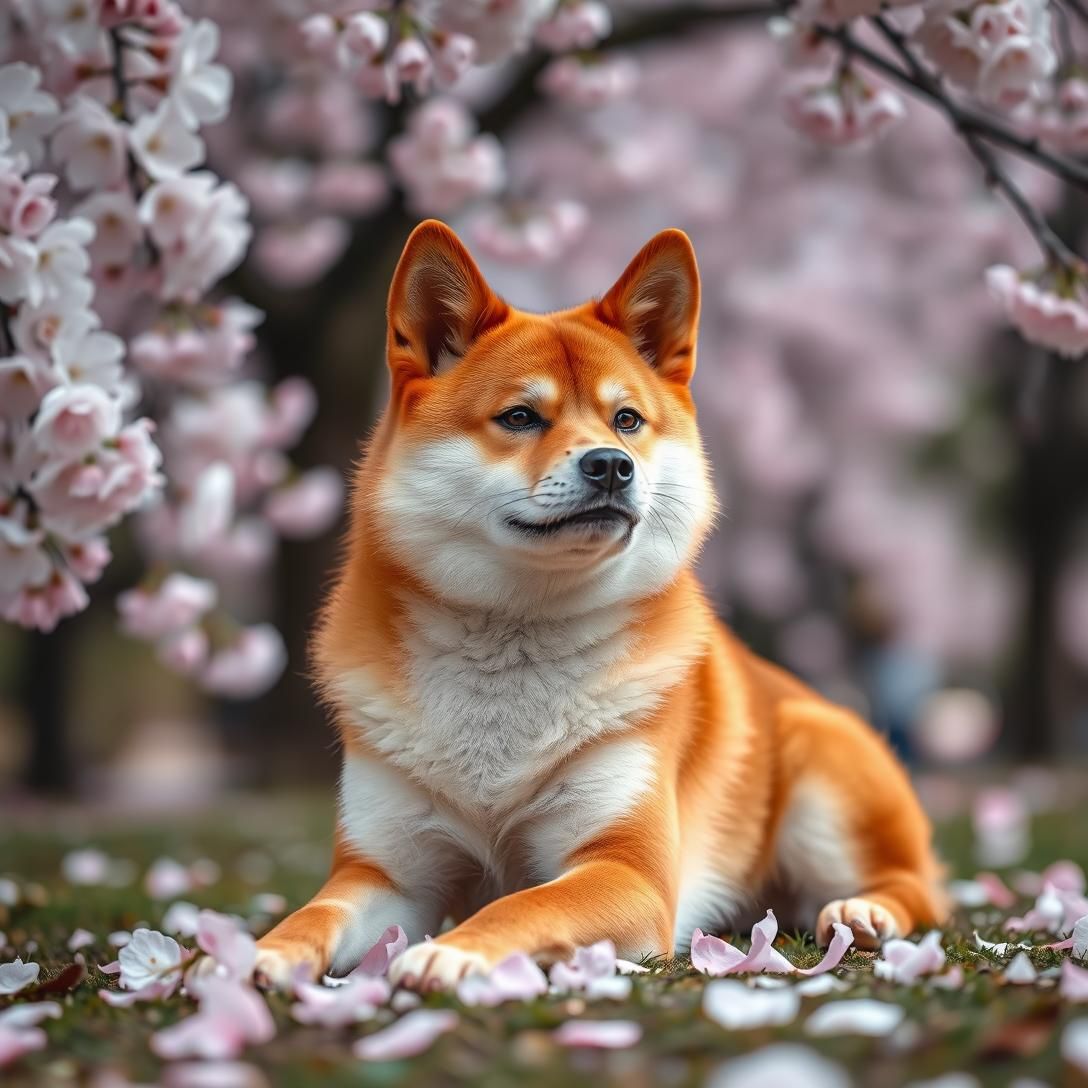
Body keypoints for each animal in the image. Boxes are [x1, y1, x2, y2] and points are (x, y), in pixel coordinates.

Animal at [253, 220, 948, 991]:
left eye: (627, 419)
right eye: (520, 417)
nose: (612, 464)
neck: (514, 639)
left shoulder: (626, 869)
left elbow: (524, 904)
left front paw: (454, 950)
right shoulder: (386, 872)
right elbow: (313, 915)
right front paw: (255, 954)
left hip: (821, 769)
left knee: (916, 888)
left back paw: (863, 911)